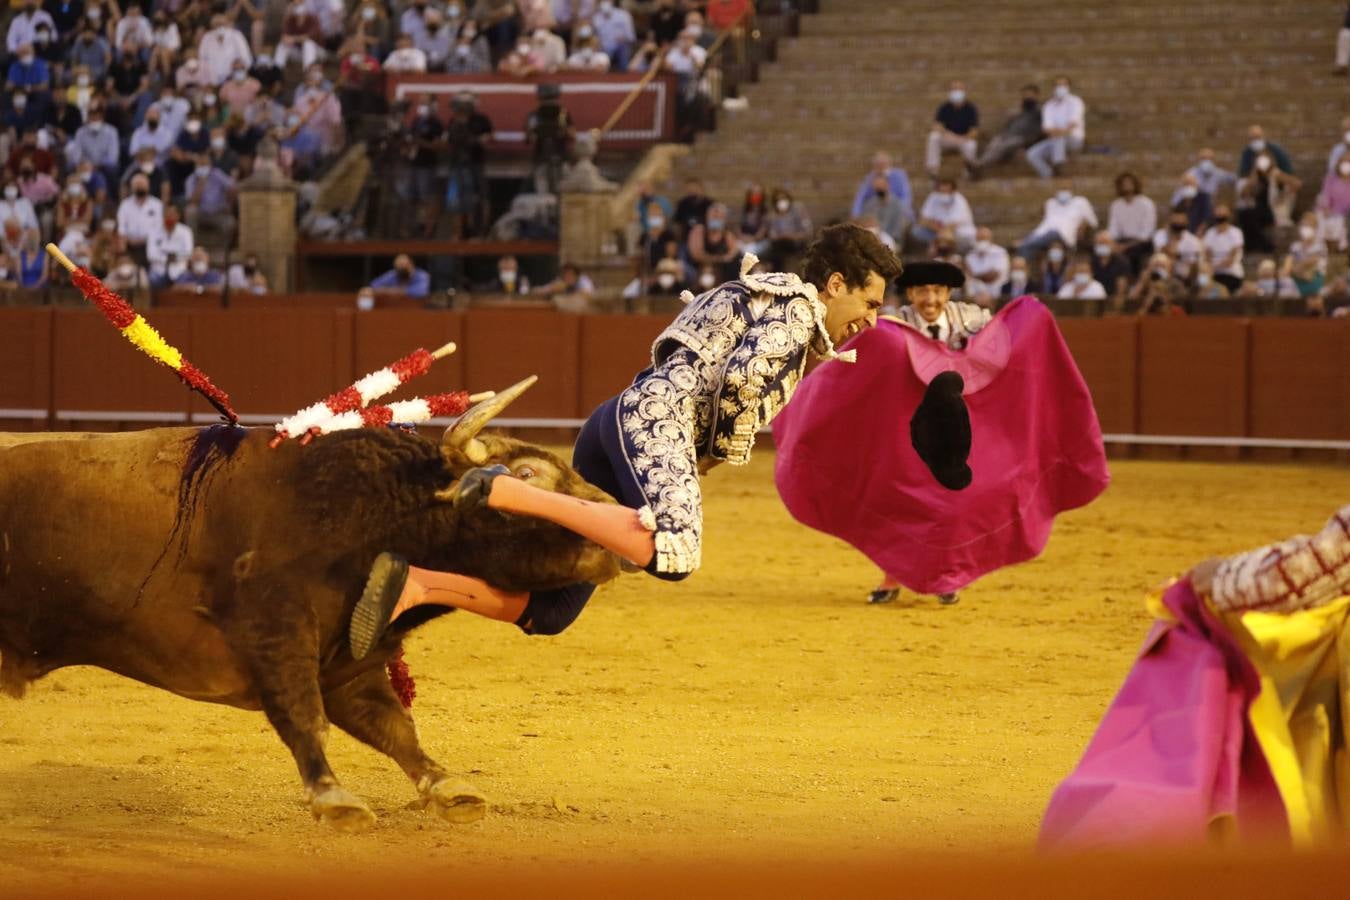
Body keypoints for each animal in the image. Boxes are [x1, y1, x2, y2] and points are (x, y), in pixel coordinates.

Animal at [0, 380, 621, 831]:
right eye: (526, 475)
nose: (620, 518)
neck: (364, 503)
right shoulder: (277, 631)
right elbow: (304, 714)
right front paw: (334, 799)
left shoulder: (347, 660)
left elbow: (392, 726)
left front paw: (449, 788)